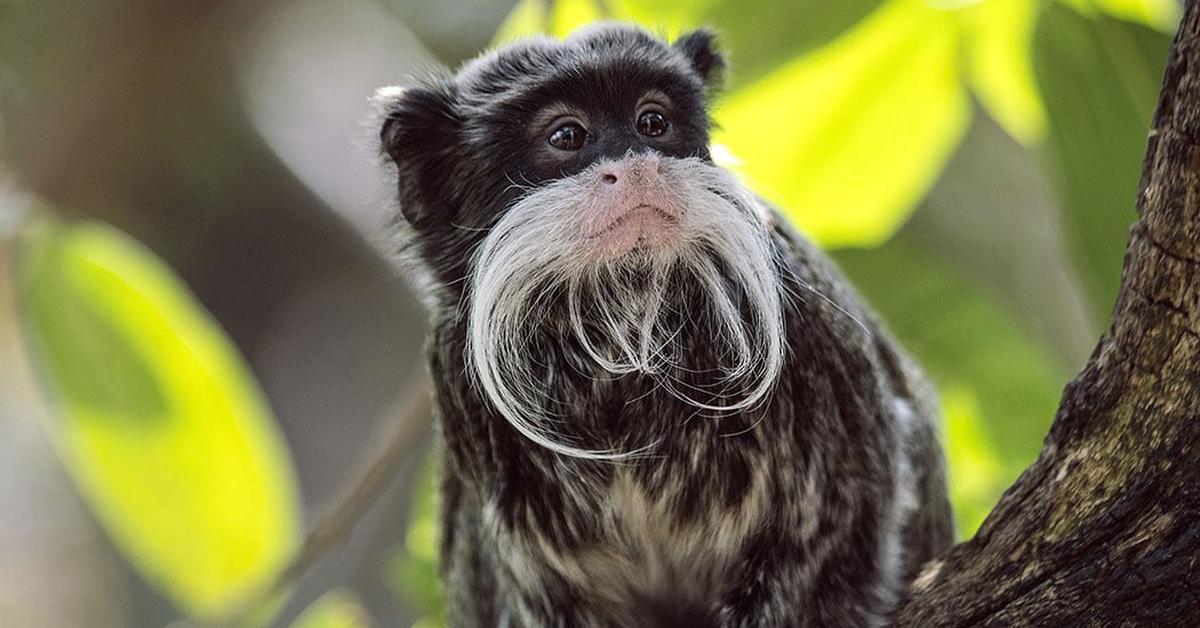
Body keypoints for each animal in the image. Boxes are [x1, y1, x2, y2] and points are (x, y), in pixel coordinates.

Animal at [374, 22, 955, 624]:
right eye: (567, 135)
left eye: (652, 123)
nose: (637, 163)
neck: (621, 329)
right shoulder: (457, 374)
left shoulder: (806, 318)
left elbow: (846, 507)